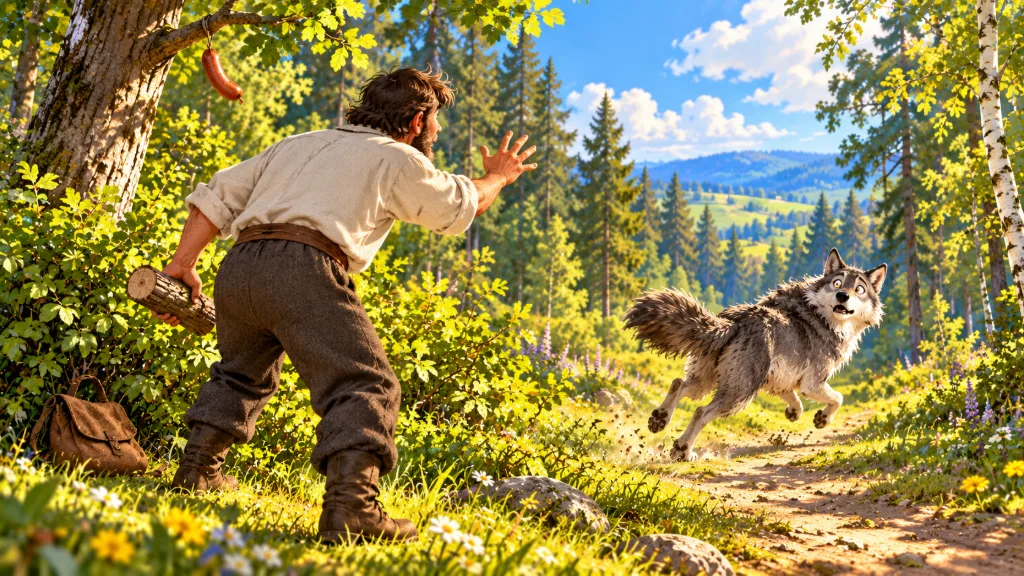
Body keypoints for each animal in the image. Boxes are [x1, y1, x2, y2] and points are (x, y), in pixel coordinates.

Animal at [624, 248, 886, 462]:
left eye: (859, 289)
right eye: (837, 283)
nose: (843, 296)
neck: (822, 316)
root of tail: (733, 322)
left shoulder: (782, 382)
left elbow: (798, 403)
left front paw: (793, 413)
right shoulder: (813, 384)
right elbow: (838, 398)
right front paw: (822, 419)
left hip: (706, 383)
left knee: (679, 384)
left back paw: (659, 419)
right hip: (739, 394)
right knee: (701, 412)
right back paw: (683, 451)